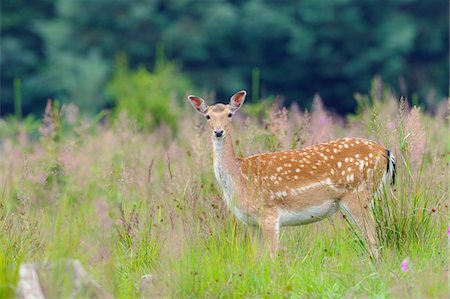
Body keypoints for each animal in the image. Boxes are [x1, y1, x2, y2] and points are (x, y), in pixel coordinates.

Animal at [188, 90, 396, 258]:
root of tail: (385, 152)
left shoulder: (270, 214)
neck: (239, 177)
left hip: (358, 195)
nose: (218, 132)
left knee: (372, 238)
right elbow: (258, 259)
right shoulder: (251, 223)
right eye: (207, 116)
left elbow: (272, 257)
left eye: (230, 114)